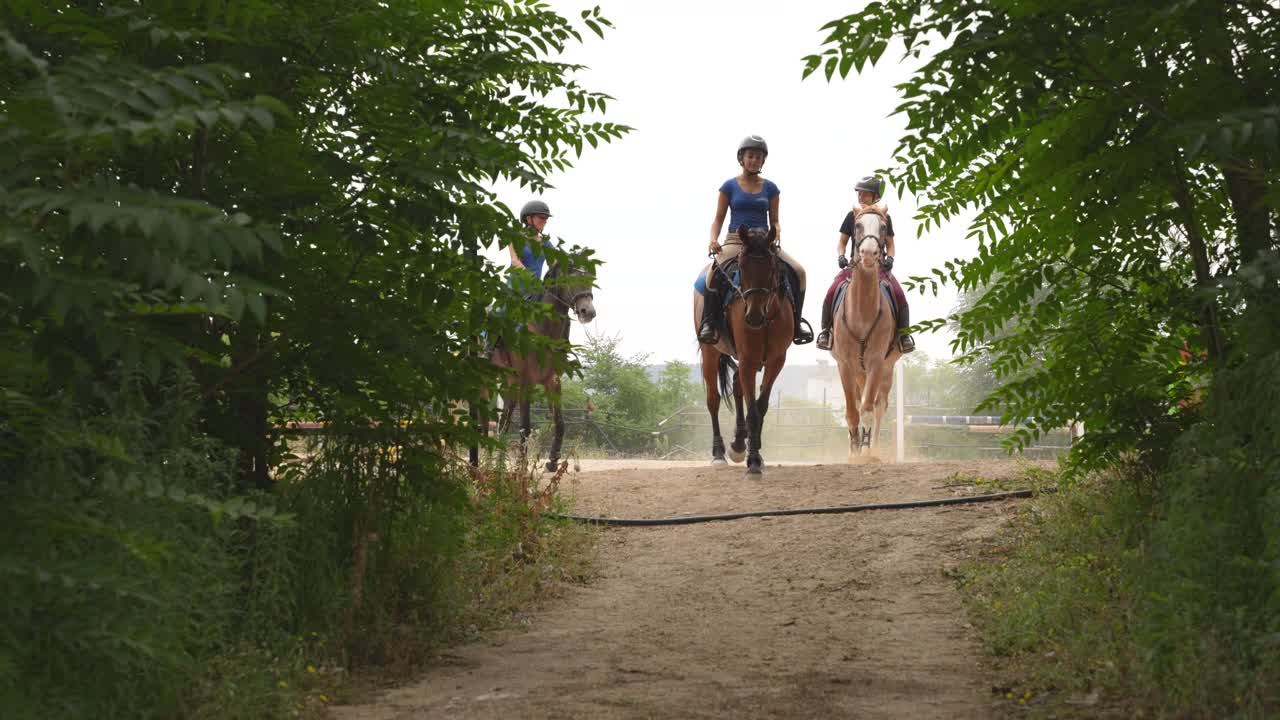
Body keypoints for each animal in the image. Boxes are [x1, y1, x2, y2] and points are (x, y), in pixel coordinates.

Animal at [484, 260, 596, 471]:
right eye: (570, 279)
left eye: (591, 279)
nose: (589, 312)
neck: (542, 329)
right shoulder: (525, 382)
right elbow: (525, 427)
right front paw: (521, 467)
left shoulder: (553, 381)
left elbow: (560, 423)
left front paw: (553, 461)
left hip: (509, 382)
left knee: (503, 422)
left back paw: (496, 465)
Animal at [692, 225, 794, 477]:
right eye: (742, 267)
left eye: (771, 267)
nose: (753, 316)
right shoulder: (748, 358)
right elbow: (753, 412)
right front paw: (754, 462)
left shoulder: (776, 360)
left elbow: (760, 406)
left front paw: (752, 451)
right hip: (711, 353)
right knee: (713, 399)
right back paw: (719, 454)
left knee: (737, 386)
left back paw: (739, 444)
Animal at [831, 205, 901, 462]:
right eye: (857, 226)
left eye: (883, 227)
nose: (869, 253)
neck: (862, 310)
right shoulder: (844, 364)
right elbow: (852, 411)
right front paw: (853, 451)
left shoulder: (876, 363)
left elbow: (868, 409)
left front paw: (866, 451)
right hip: (858, 372)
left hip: (886, 370)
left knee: (880, 407)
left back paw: (874, 448)